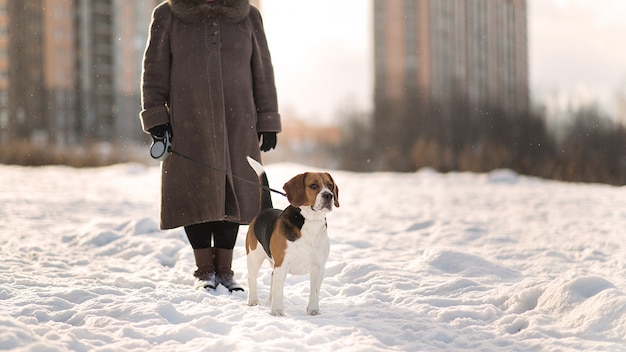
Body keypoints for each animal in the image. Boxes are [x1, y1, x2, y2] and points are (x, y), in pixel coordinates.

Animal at [246, 157, 338, 316]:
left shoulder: (318, 267)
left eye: (330, 186)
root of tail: (265, 210)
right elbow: (278, 290)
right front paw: (277, 311)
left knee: (271, 277)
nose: (328, 195)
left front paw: (313, 310)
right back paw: (253, 301)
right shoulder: (282, 264)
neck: (310, 221)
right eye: (313, 185)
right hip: (253, 258)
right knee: (252, 279)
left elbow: (314, 291)